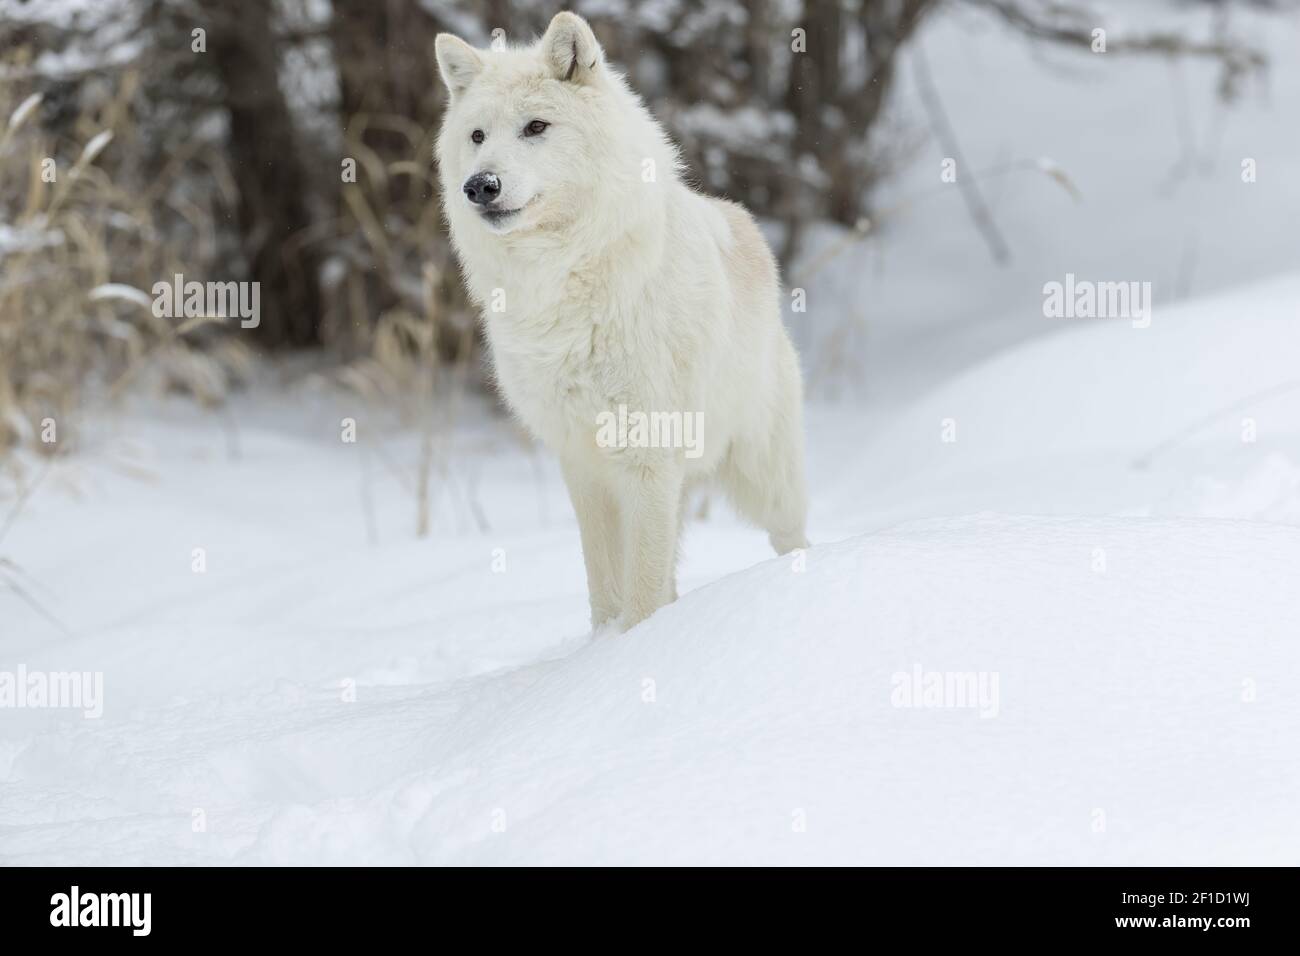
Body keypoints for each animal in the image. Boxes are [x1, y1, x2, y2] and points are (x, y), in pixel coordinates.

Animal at [435, 12, 809, 631]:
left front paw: (635, 646)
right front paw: (605, 643)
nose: (479, 186)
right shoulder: (582, 464)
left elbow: (641, 593)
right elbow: (606, 586)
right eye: (478, 136)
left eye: (536, 127)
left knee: (792, 537)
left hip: (762, 477)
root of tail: (749, 227)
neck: (562, 281)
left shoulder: (646, 458)